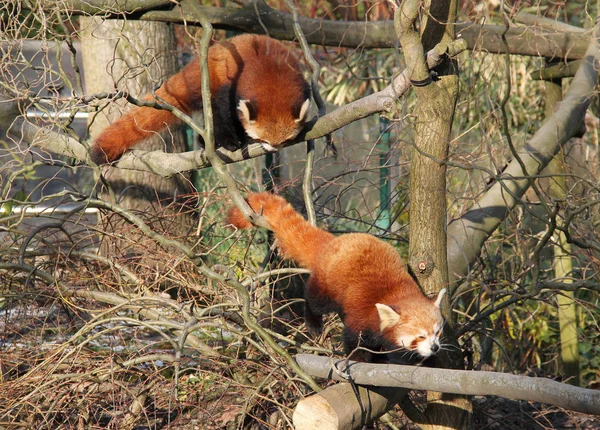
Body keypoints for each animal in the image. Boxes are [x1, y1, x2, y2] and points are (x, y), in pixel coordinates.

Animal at [92, 33, 314, 164]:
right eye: (263, 138)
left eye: (285, 140)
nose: (273, 149)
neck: (272, 79)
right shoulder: (233, 84)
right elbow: (224, 111)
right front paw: (232, 141)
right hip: (211, 81)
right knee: (216, 111)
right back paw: (218, 141)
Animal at [227, 192, 448, 362]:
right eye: (420, 336)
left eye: (437, 332)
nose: (435, 347)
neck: (396, 293)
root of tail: (333, 242)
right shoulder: (362, 315)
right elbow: (354, 339)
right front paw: (359, 358)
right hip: (328, 284)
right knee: (314, 300)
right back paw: (314, 323)